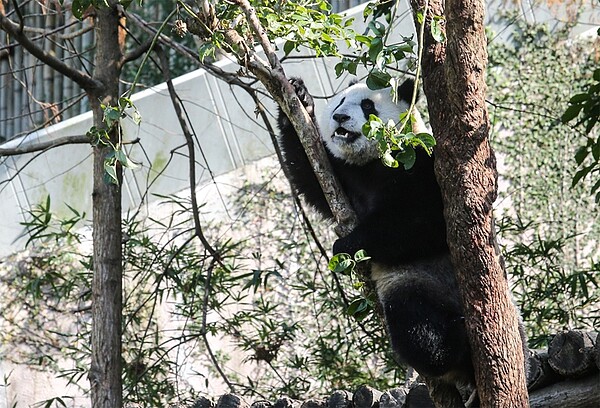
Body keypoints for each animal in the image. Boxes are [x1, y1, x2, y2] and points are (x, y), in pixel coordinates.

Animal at [278, 78, 478, 388]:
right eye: (340, 101)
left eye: (367, 105)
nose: (340, 117)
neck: (373, 161)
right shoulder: (345, 177)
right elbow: (310, 175)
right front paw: (299, 94)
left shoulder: (418, 161)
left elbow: (425, 221)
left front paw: (346, 246)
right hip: (411, 282)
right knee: (417, 320)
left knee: (420, 330)